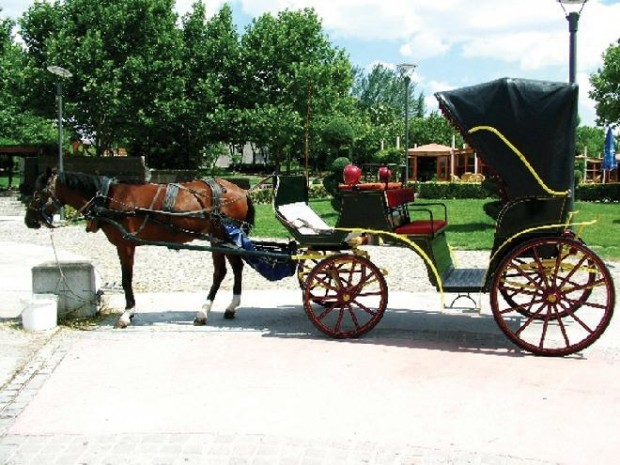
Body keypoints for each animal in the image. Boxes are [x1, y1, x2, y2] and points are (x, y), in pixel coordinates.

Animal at [24, 168, 254, 326]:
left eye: (37, 193)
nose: (29, 220)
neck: (108, 197)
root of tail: (240, 190)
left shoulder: (125, 244)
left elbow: (126, 278)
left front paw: (127, 313)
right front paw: (130, 311)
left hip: (219, 237)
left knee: (221, 271)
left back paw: (204, 311)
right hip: (223, 239)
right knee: (234, 268)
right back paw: (230, 306)